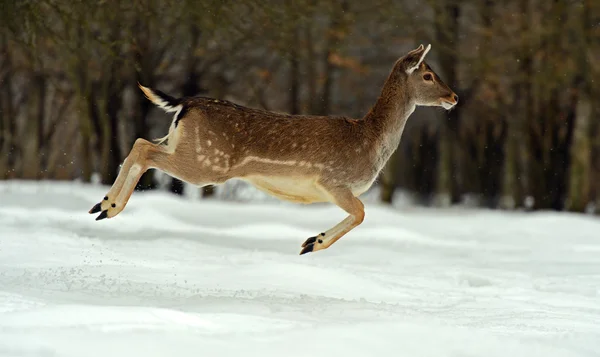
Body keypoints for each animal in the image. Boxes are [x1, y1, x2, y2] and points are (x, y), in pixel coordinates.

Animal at [88, 44, 454, 254]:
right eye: (428, 75)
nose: (453, 96)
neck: (371, 142)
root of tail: (185, 103)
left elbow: (361, 213)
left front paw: (310, 242)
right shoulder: (333, 181)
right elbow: (362, 212)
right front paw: (312, 243)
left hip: (182, 145)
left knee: (140, 142)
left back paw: (102, 206)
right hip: (209, 163)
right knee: (144, 150)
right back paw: (109, 206)